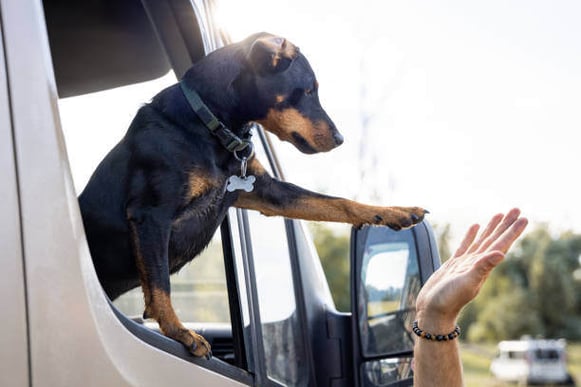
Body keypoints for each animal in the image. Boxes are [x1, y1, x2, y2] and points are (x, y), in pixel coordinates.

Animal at [79, 31, 426, 360]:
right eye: (308, 90)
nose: (340, 138)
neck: (209, 124)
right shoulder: (151, 214)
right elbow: (160, 283)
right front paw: (180, 333)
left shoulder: (265, 192)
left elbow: (335, 203)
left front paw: (396, 212)